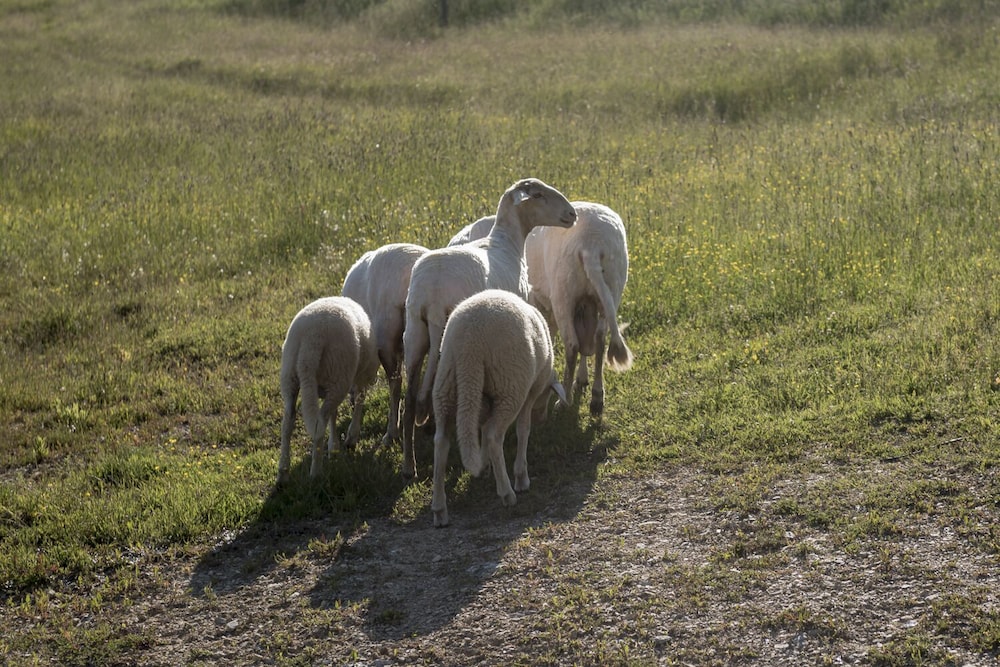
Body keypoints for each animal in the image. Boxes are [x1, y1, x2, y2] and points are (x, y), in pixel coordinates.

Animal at [277, 296, 380, 484]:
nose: (374, 380)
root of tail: (312, 337)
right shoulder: (360, 378)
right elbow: (359, 402)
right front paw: (350, 438)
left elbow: (334, 414)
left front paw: (334, 447)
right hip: (338, 374)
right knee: (319, 424)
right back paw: (316, 473)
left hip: (290, 377)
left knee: (287, 423)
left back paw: (283, 474)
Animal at [400, 178, 577, 479]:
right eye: (538, 194)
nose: (572, 214)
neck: (508, 241)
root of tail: (432, 295)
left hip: (414, 333)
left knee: (410, 398)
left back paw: (409, 465)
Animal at [430, 290, 568, 527]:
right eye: (549, 395)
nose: (542, 418)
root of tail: (469, 343)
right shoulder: (528, 394)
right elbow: (523, 430)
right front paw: (521, 477)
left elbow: (483, 429)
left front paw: (485, 465)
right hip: (510, 384)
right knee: (495, 435)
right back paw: (507, 493)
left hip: (446, 382)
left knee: (441, 442)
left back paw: (439, 510)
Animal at [524, 202, 634, 417]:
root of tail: (591, 244)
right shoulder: (586, 304)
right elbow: (586, 340)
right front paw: (582, 379)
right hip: (612, 287)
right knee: (599, 339)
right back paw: (597, 397)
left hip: (563, 293)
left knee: (572, 345)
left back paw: (563, 401)